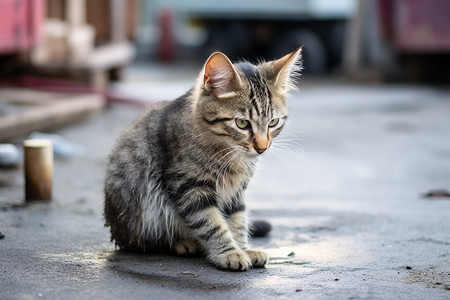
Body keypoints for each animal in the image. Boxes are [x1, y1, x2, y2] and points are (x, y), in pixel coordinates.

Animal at [104, 47, 302, 272]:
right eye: (242, 123)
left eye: (273, 122)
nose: (262, 147)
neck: (229, 154)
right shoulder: (189, 187)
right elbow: (211, 223)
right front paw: (230, 252)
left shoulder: (235, 192)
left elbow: (237, 220)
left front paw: (244, 248)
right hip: (143, 214)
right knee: (148, 241)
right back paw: (182, 243)